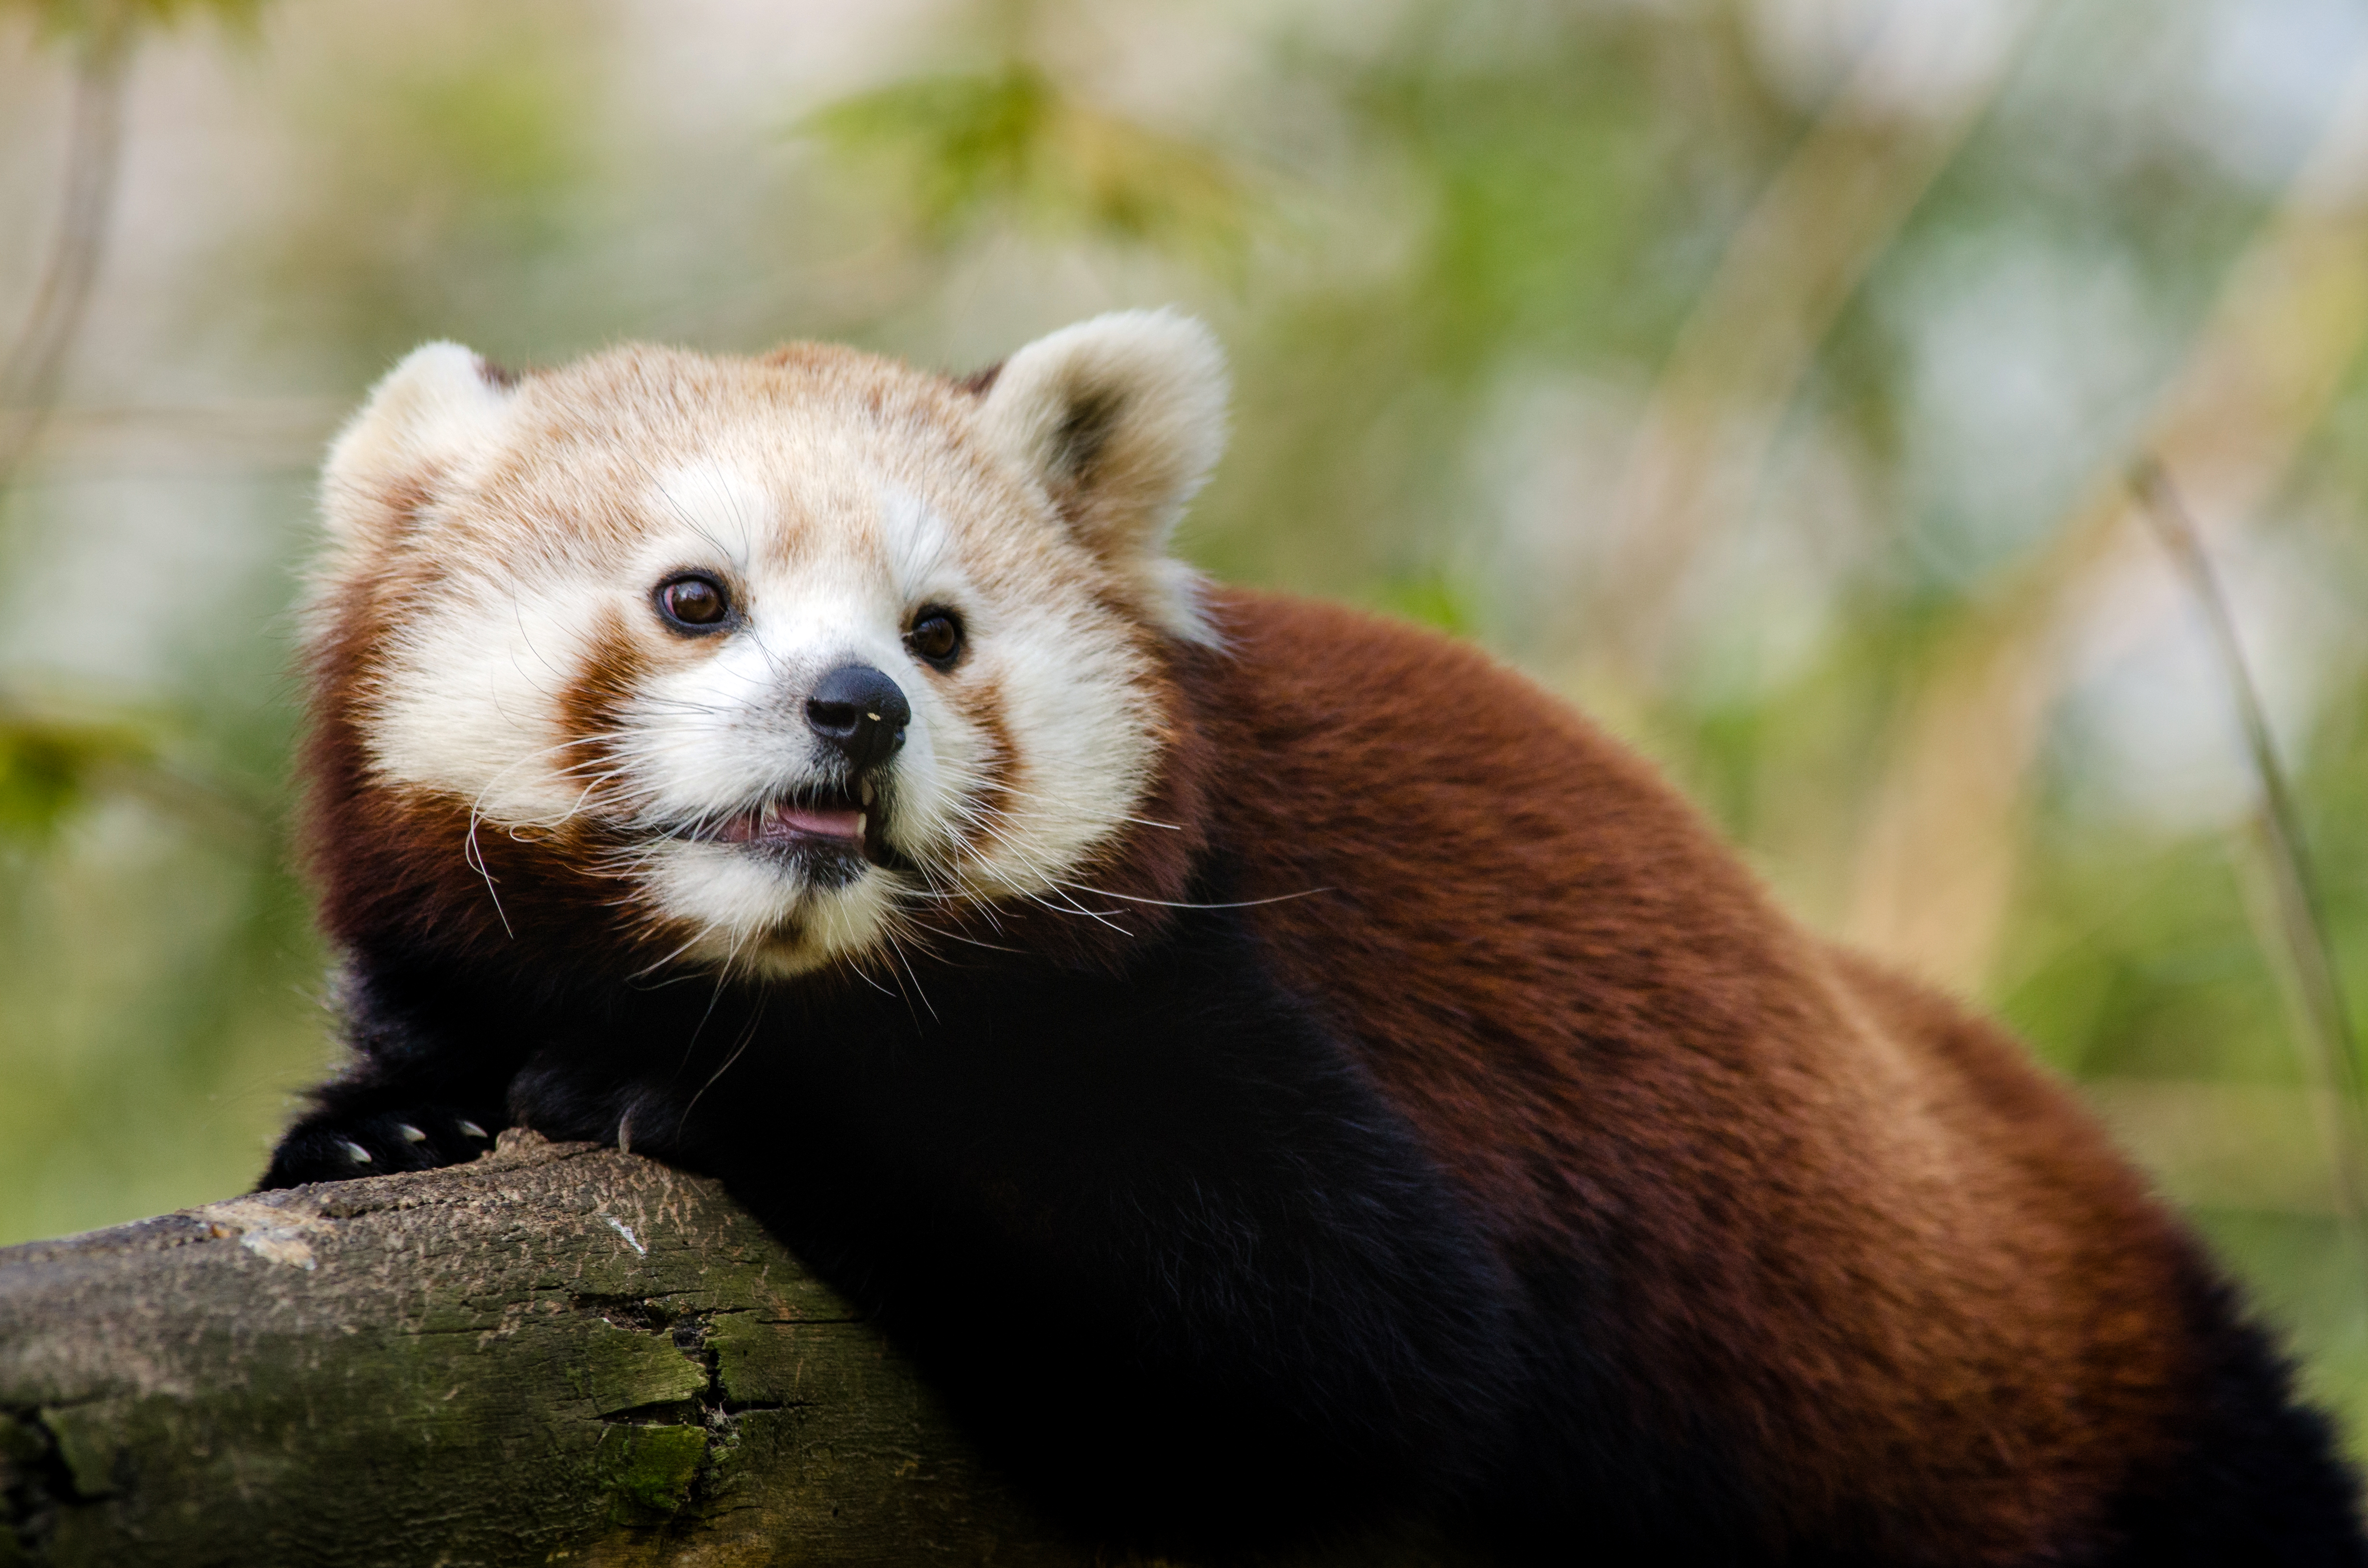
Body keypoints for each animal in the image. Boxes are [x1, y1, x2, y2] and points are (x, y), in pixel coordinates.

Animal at [269, 312, 2358, 1563]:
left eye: (937, 632)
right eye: (694, 600)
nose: (858, 712)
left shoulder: (1228, 989)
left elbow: (1343, 1351)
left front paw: (691, 1082)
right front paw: (385, 1121)